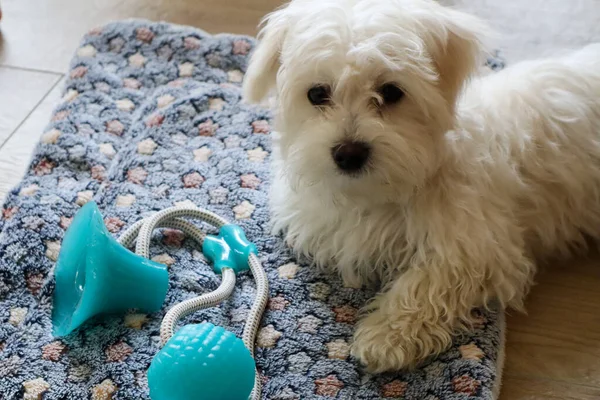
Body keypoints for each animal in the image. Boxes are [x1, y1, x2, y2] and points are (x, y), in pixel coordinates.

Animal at [241, 0, 600, 372]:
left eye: (391, 92)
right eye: (316, 93)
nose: (349, 153)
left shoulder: (479, 244)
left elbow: (432, 280)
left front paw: (385, 336)